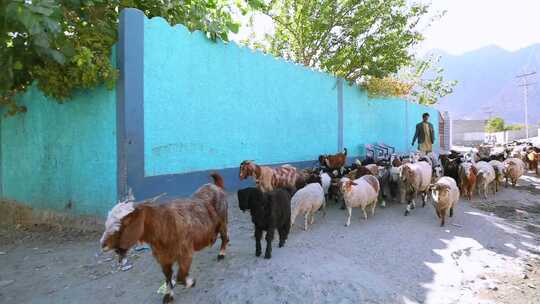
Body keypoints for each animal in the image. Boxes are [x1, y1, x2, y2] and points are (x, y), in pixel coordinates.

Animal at [100, 173, 228, 304]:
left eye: (126, 222)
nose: (103, 244)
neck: (165, 226)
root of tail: (215, 186)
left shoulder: (185, 252)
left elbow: (180, 276)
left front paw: (191, 282)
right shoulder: (163, 258)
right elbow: (168, 277)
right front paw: (168, 295)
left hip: (223, 220)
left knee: (225, 237)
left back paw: (221, 254)